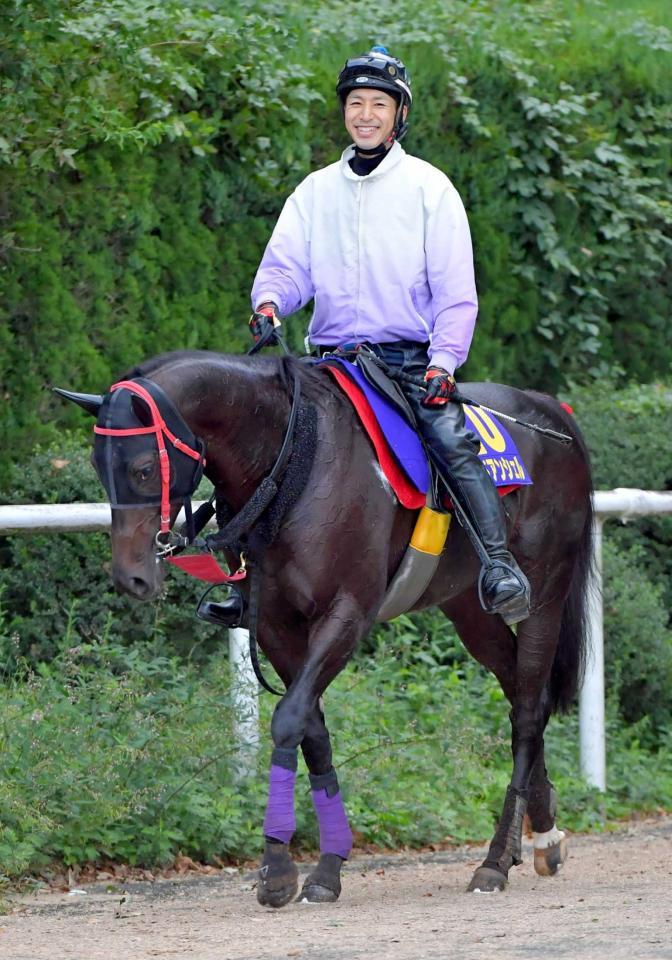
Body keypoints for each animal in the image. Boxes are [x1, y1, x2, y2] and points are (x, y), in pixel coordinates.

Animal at [60, 348, 592, 904]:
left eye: (143, 469)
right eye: (98, 465)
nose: (132, 576)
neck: (295, 461)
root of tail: (551, 411)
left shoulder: (347, 613)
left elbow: (290, 718)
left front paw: (277, 864)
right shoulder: (273, 624)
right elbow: (312, 729)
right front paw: (325, 863)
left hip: (544, 591)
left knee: (528, 711)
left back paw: (495, 860)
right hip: (467, 605)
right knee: (520, 693)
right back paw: (543, 832)